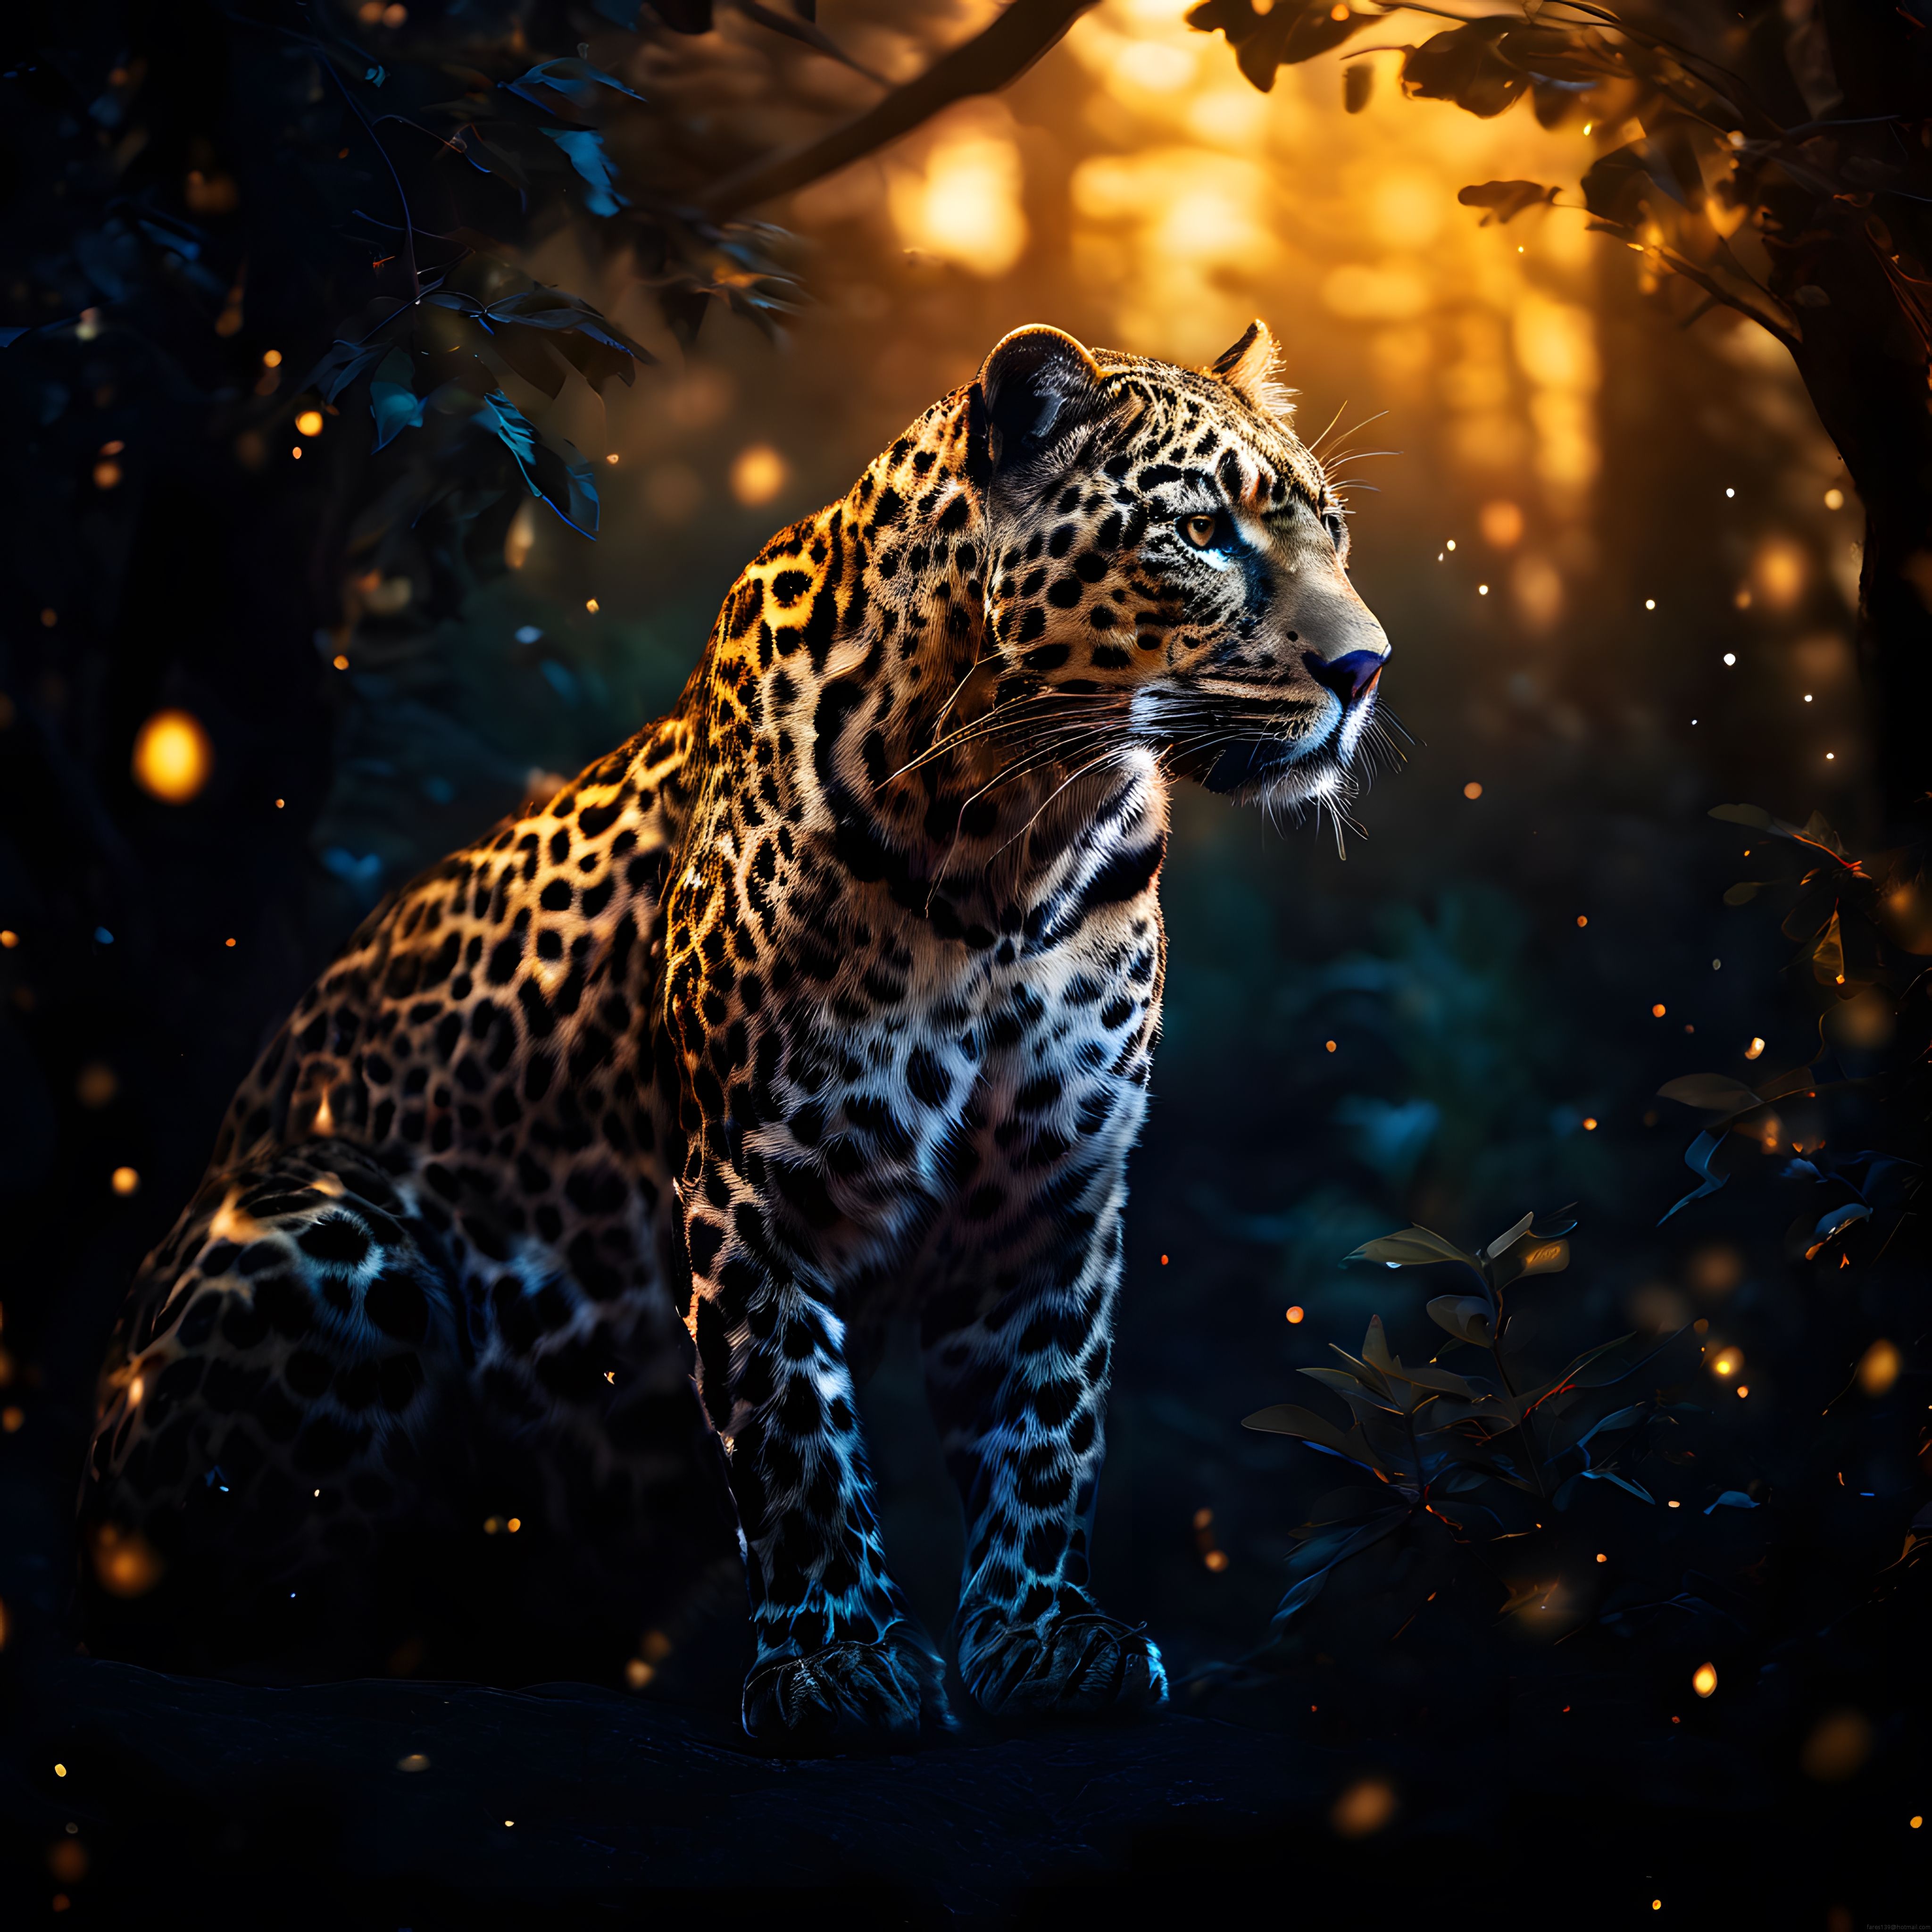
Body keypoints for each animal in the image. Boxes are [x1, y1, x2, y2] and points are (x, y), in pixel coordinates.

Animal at [78, 319, 1391, 1749]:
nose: (1365, 668)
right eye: (1203, 534)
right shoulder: (759, 1180)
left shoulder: (1049, 1193)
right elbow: (793, 1434)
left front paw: (1046, 1640)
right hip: (323, 1230)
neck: (1021, 832)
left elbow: (1045, 1422)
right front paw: (836, 1664)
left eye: (1331, 531)